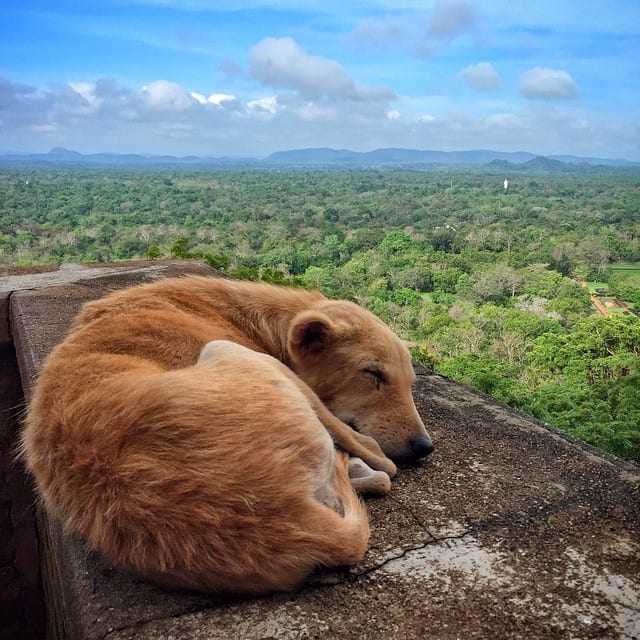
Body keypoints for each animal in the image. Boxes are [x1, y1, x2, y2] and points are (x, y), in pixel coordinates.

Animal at [20, 278, 432, 592]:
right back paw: (363, 462)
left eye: (411, 381)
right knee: (375, 468)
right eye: (372, 374)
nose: (424, 447)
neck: (256, 319)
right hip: (230, 352)